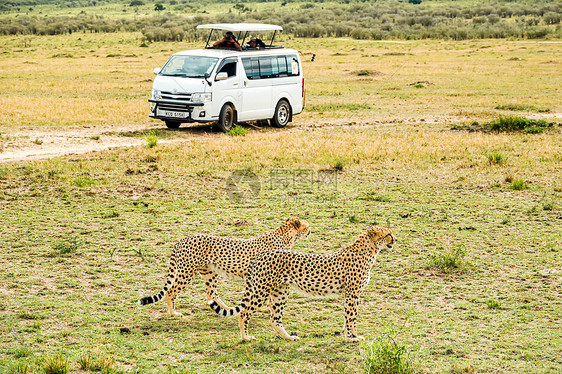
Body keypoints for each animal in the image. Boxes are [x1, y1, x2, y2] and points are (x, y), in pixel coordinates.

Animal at [138, 218, 308, 318]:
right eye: (306, 226)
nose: (310, 230)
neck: (285, 235)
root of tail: (184, 238)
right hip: (187, 272)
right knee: (171, 291)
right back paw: (173, 312)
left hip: (209, 272)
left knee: (211, 293)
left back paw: (225, 308)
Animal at [208, 225, 396, 342]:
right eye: (388, 234)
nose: (395, 240)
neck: (369, 250)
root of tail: (261, 254)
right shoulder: (353, 293)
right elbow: (351, 316)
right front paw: (351, 338)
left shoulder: (351, 294)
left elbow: (350, 317)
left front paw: (353, 335)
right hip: (261, 291)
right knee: (244, 312)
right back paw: (245, 337)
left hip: (280, 292)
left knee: (275, 318)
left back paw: (288, 337)